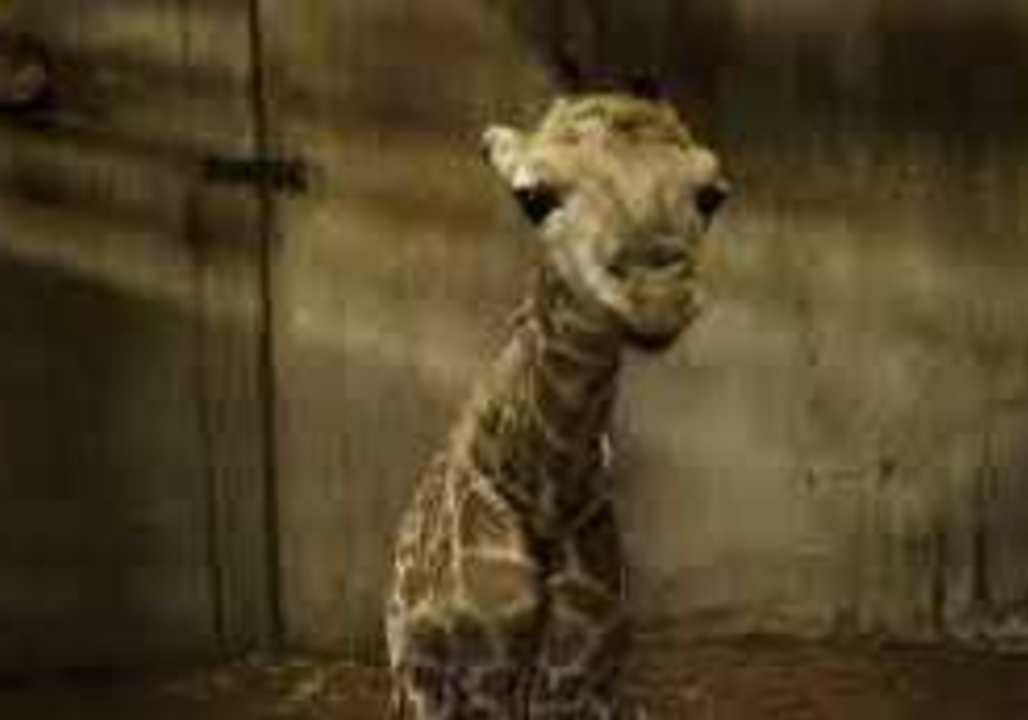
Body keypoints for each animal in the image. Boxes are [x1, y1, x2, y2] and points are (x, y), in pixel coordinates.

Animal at [386, 92, 730, 719]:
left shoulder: (578, 682)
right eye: (532, 196)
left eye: (711, 194)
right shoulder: (463, 682)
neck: (544, 496)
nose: (657, 296)